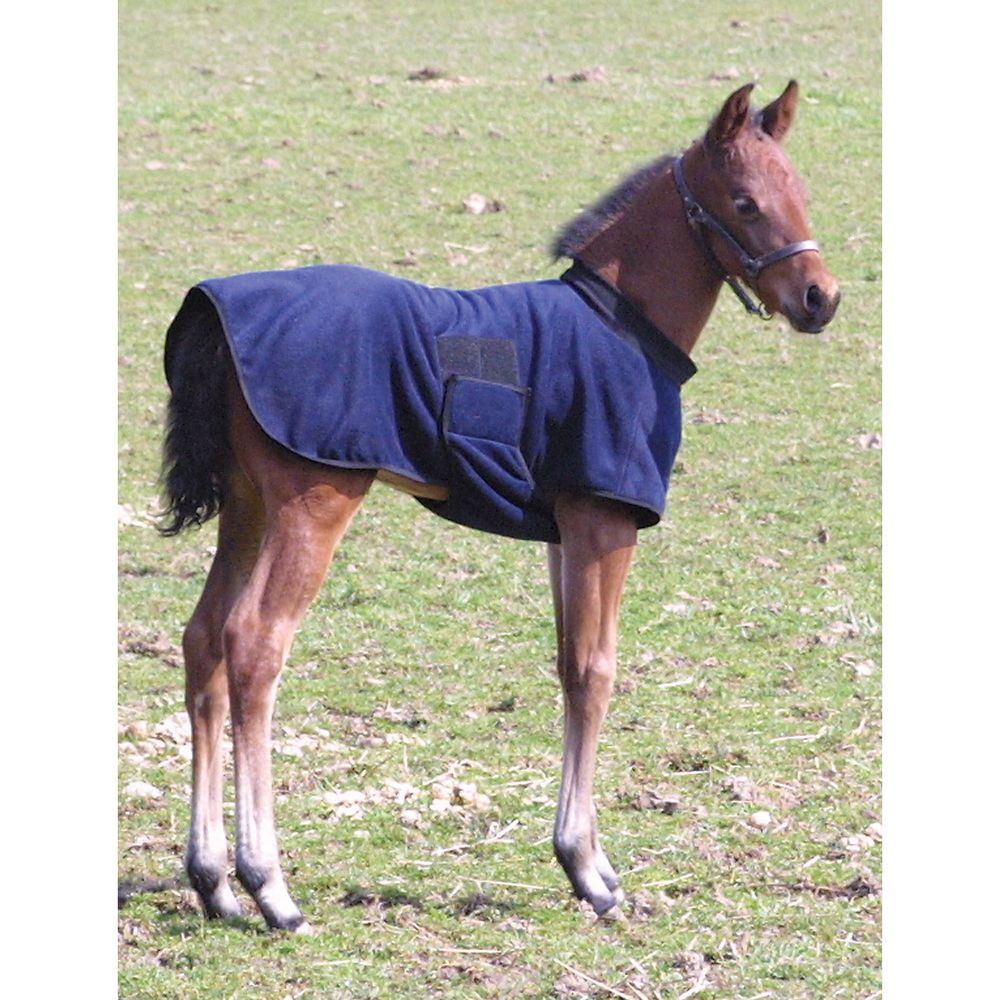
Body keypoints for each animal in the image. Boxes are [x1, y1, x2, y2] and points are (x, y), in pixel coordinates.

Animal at [159, 81, 840, 933]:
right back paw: (269, 884)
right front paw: (589, 870)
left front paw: (584, 859)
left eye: (803, 192)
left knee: (203, 642)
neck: (620, 323)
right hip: (309, 506)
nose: (821, 299)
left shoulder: (564, 532)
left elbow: (567, 663)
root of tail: (215, 312)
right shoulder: (605, 521)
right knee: (252, 645)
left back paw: (213, 882)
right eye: (746, 203)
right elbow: (595, 670)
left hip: (247, 508)